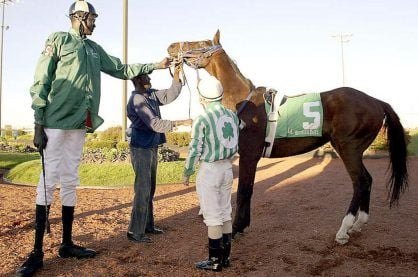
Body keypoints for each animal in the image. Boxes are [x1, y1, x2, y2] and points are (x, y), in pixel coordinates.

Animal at [167, 29, 408, 243]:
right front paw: (242, 226)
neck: (243, 101)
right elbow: (248, 189)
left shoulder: (248, 155)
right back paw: (358, 224)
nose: (171, 47)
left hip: (348, 148)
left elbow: (244, 190)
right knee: (367, 181)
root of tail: (376, 101)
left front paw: (235, 229)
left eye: (200, 42)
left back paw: (344, 229)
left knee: (361, 181)